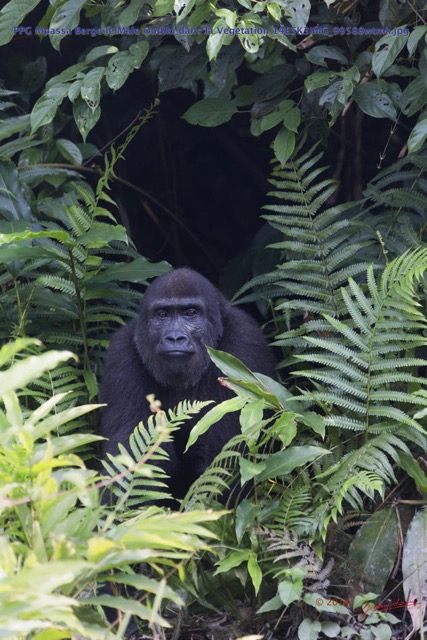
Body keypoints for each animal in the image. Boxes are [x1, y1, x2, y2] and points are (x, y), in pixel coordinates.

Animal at [98, 268, 276, 502]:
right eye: (162, 315)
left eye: (191, 313)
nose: (175, 338)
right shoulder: (122, 351)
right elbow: (130, 445)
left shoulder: (245, 343)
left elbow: (228, 455)